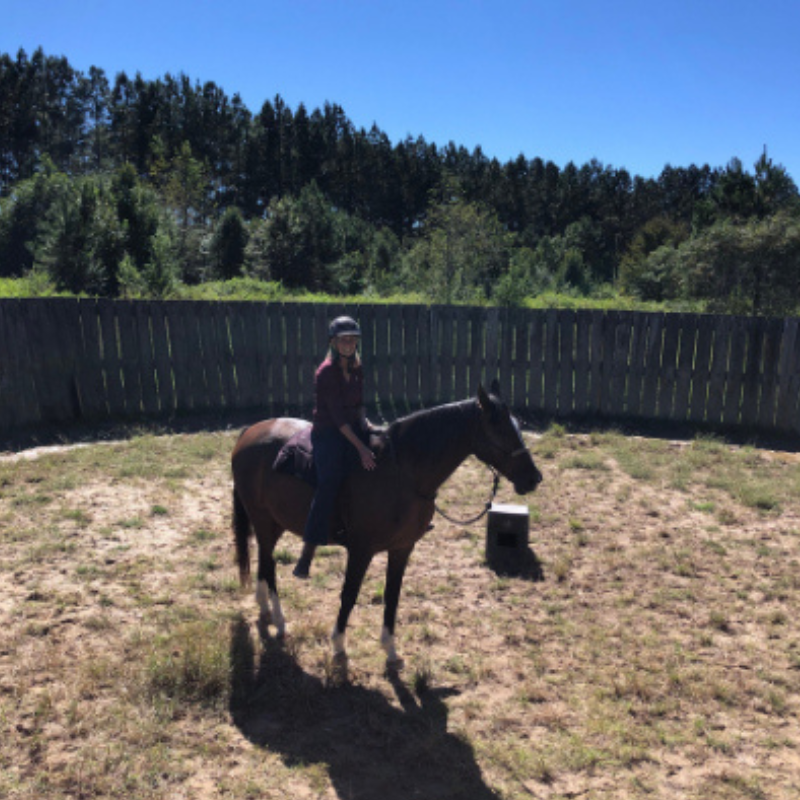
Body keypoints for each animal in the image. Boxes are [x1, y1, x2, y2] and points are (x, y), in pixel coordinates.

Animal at [231, 380, 543, 668]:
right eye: (499, 428)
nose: (533, 478)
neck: (403, 475)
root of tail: (249, 432)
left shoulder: (402, 548)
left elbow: (392, 596)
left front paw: (390, 650)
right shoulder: (361, 550)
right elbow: (349, 594)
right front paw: (338, 645)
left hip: (274, 523)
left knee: (264, 561)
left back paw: (265, 608)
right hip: (262, 519)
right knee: (269, 564)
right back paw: (280, 621)